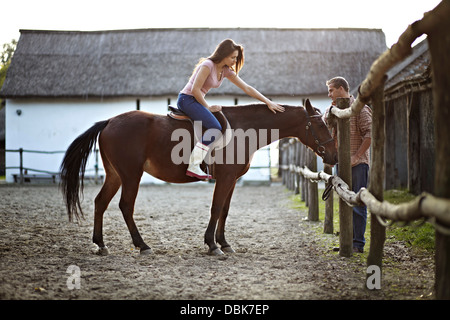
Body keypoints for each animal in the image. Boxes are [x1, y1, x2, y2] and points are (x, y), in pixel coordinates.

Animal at [61, 99, 338, 256]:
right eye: (321, 125)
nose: (334, 156)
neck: (243, 129)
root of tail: (109, 122)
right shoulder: (224, 179)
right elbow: (216, 209)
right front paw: (212, 245)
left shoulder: (232, 180)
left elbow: (224, 210)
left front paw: (223, 243)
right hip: (131, 175)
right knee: (126, 206)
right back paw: (143, 245)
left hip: (115, 175)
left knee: (100, 203)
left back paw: (100, 244)